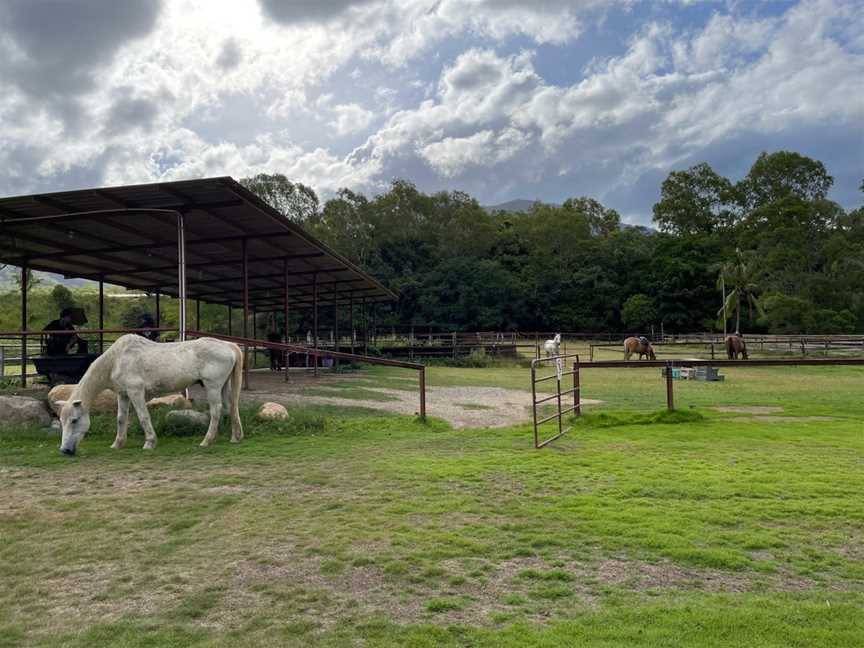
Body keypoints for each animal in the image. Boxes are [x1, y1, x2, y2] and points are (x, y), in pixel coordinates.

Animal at [57, 334, 245, 456]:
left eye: (74, 420)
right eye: (62, 421)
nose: (65, 450)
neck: (117, 359)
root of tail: (229, 345)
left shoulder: (136, 392)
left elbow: (143, 416)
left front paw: (149, 442)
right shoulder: (123, 394)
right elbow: (121, 419)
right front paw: (117, 444)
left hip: (212, 387)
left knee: (216, 411)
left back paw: (206, 441)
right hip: (223, 387)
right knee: (231, 407)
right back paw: (235, 438)